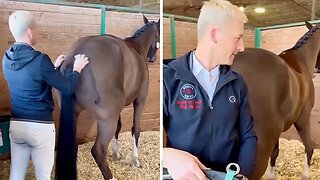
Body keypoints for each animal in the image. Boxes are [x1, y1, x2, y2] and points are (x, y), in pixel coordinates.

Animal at [56, 14, 160, 179]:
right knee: (98, 151)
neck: (136, 48)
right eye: (158, 34)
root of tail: (73, 58)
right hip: (107, 120)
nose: (152, 58)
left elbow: (119, 126)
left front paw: (116, 153)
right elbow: (135, 128)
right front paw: (135, 160)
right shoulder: (140, 101)